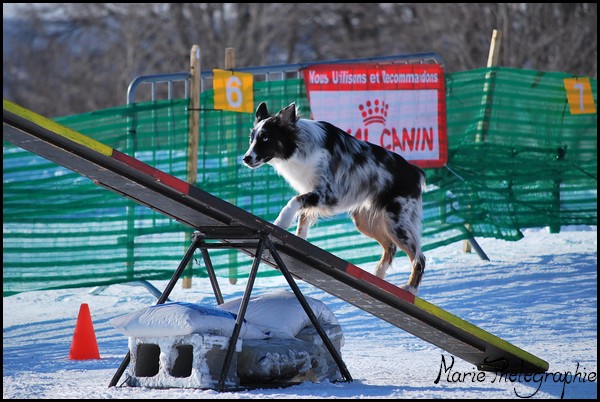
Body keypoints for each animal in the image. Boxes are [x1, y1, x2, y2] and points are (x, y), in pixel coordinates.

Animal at [244, 102, 426, 294]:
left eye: (265, 138)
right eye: (251, 138)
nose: (246, 158)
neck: (300, 146)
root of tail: (415, 171)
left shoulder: (327, 194)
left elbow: (294, 201)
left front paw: (281, 221)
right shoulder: (311, 191)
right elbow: (303, 221)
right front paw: (299, 242)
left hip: (396, 224)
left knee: (419, 257)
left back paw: (410, 288)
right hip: (365, 221)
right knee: (390, 247)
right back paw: (378, 277)